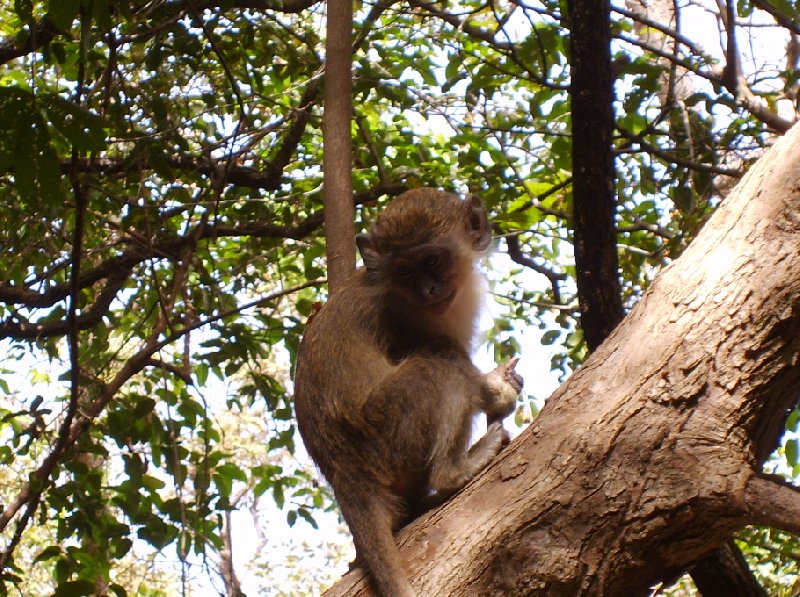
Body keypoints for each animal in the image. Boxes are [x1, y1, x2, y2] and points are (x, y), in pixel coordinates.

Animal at [290, 187, 520, 596]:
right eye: (405, 270)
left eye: (432, 260)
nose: (429, 290)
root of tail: (345, 471)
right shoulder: (414, 321)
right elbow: (463, 372)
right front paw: (498, 391)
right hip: (388, 430)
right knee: (441, 360)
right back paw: (452, 473)